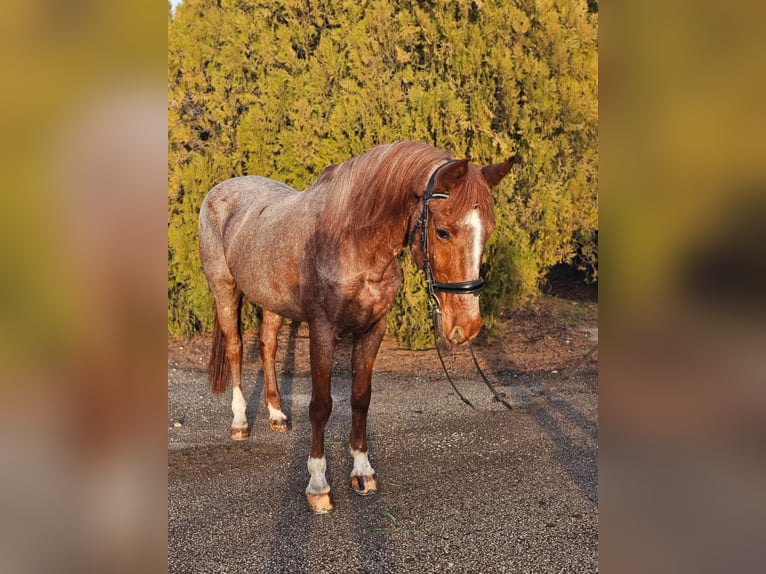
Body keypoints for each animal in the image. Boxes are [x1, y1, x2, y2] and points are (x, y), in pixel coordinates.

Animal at [198, 140, 516, 513]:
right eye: (443, 231)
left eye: (489, 231)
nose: (466, 325)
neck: (353, 243)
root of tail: (221, 189)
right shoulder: (323, 331)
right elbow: (321, 406)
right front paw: (318, 485)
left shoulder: (372, 330)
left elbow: (360, 399)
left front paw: (363, 473)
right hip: (224, 289)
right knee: (235, 348)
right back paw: (239, 422)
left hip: (271, 300)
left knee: (267, 345)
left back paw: (277, 414)